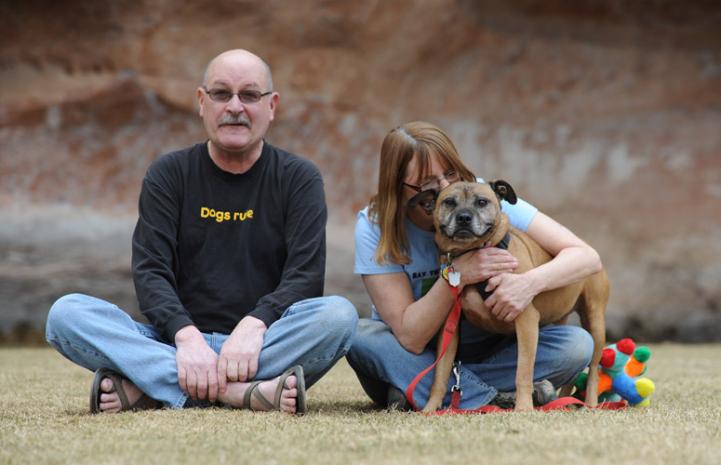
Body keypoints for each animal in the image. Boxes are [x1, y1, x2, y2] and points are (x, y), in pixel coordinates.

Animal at [422, 179, 608, 412]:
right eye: (449, 202)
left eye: (482, 202)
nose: (464, 217)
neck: (473, 252)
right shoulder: (450, 328)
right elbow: (440, 374)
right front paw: (430, 409)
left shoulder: (526, 321)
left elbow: (523, 372)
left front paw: (524, 408)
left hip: (595, 323)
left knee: (593, 369)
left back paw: (589, 404)